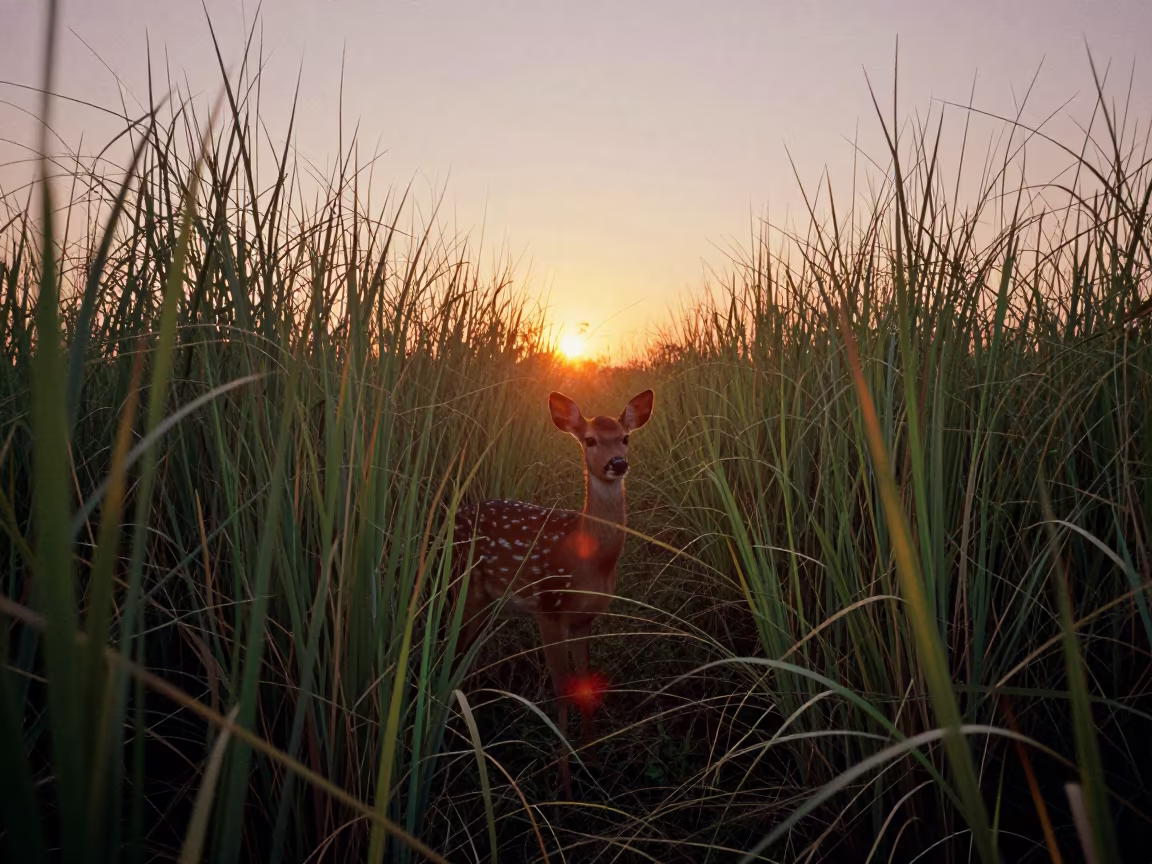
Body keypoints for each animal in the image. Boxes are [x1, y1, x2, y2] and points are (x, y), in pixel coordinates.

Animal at [452, 389, 654, 798]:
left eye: (625, 437)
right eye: (590, 440)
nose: (617, 463)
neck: (589, 560)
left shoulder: (585, 618)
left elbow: (587, 682)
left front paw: (593, 763)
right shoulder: (548, 607)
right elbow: (561, 689)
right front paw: (566, 787)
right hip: (466, 591)